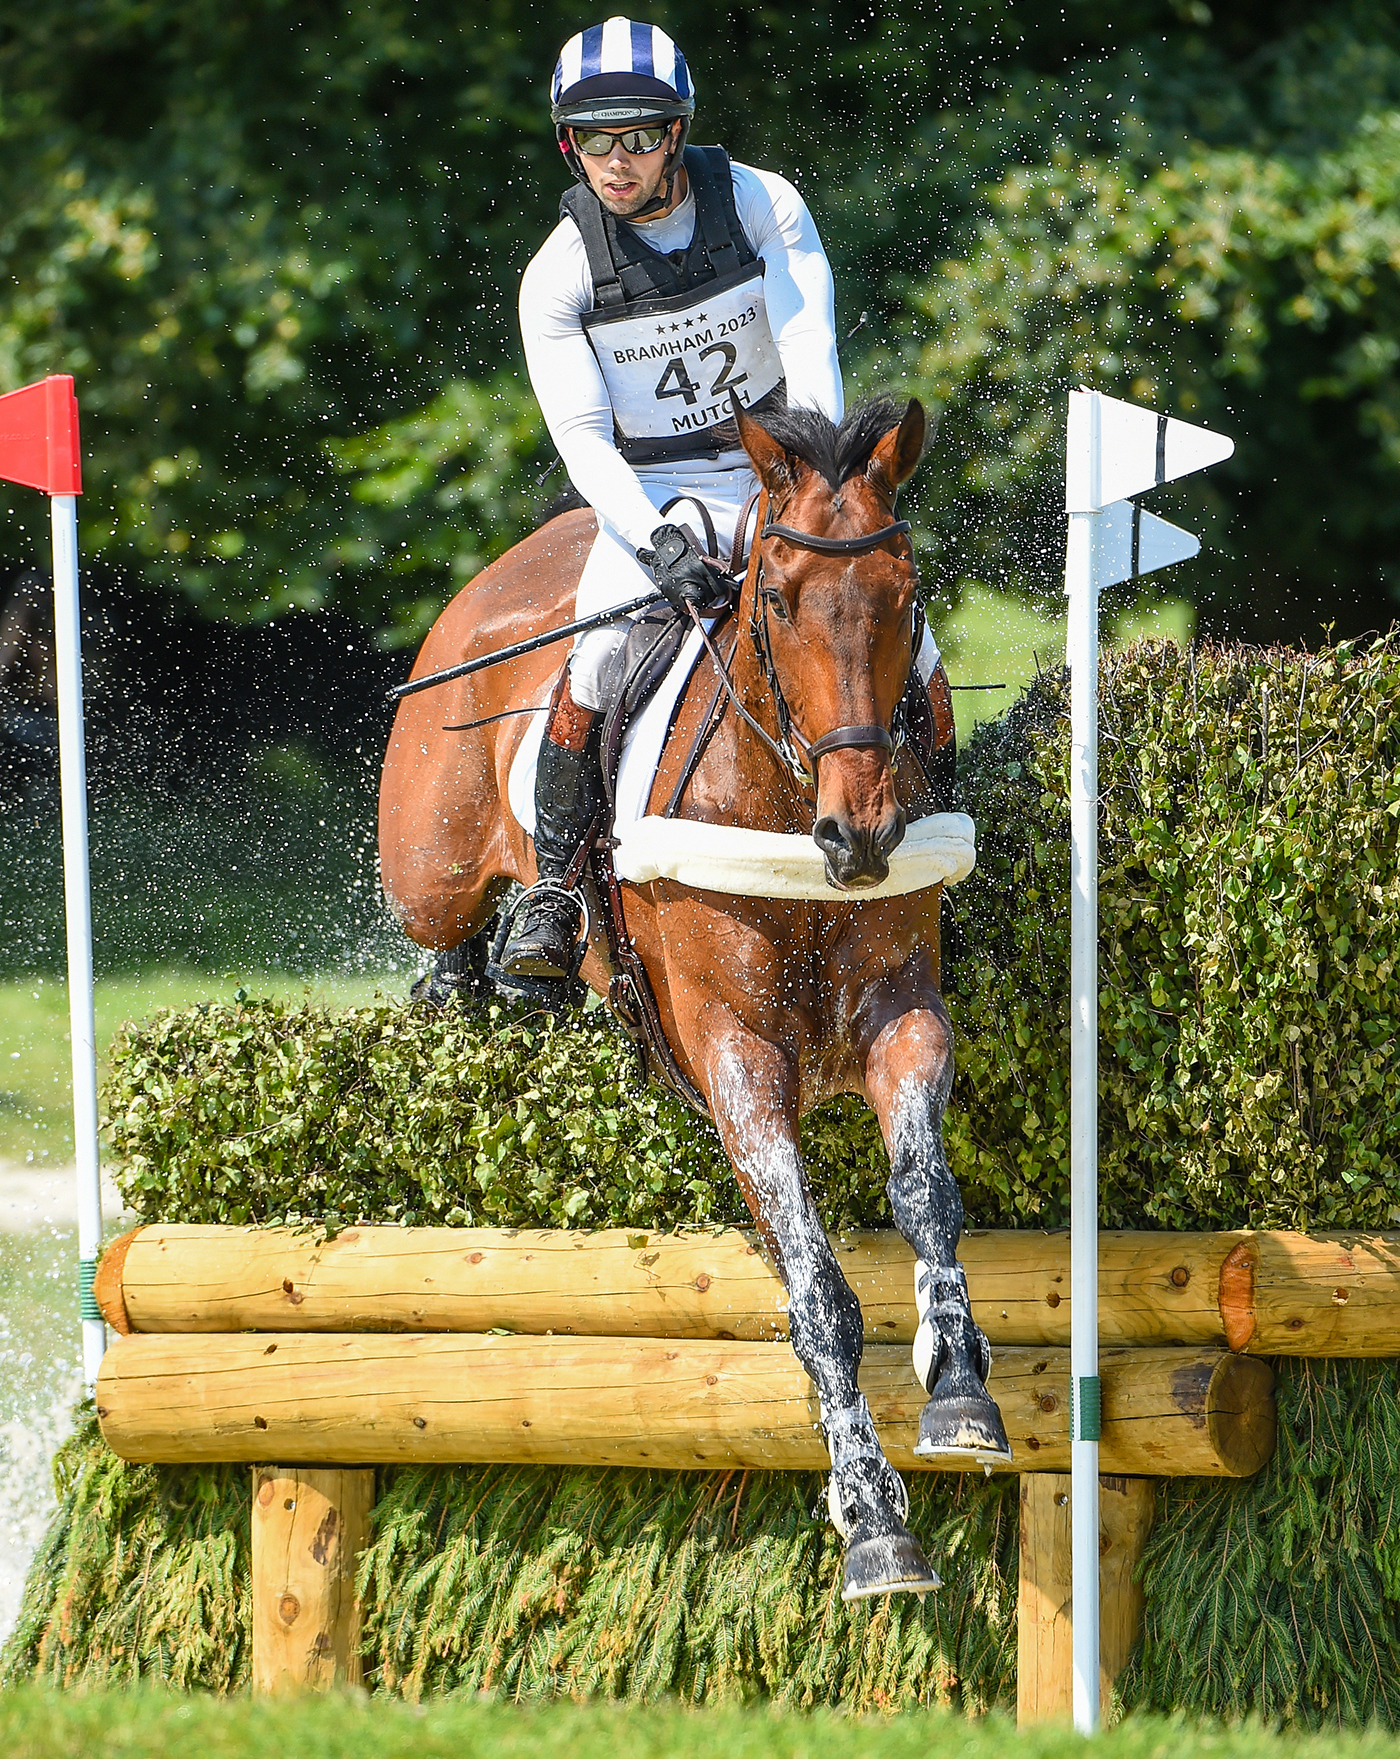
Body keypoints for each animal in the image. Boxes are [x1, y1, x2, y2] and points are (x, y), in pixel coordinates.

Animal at [378, 399, 1013, 1611]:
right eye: (777, 597)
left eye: (907, 591)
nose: (862, 837)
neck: (787, 808)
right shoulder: (739, 1059)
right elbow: (818, 1286)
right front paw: (873, 1519)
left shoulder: (904, 1020)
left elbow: (925, 1193)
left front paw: (959, 1389)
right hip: (426, 870)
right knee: (445, 952)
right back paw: (501, 960)